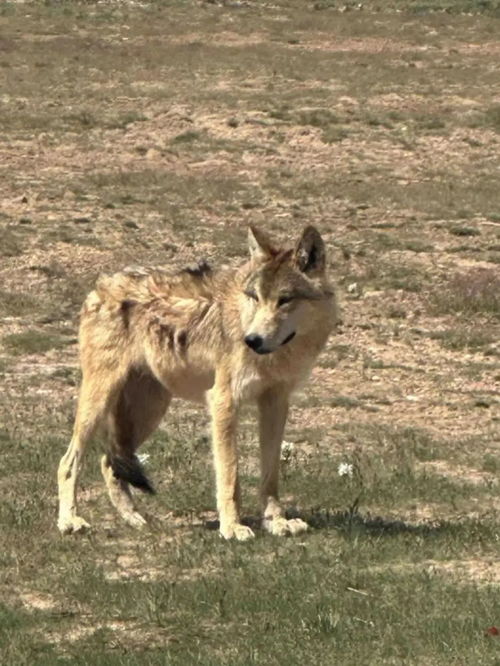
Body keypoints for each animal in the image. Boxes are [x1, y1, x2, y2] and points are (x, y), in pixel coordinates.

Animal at [57, 226, 340, 536]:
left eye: (285, 299)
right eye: (255, 297)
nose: (252, 340)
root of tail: (101, 284)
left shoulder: (276, 403)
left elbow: (270, 474)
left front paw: (276, 521)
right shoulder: (223, 402)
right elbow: (230, 475)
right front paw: (232, 527)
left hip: (149, 412)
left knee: (109, 462)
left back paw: (135, 519)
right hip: (100, 402)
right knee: (68, 461)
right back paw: (69, 521)